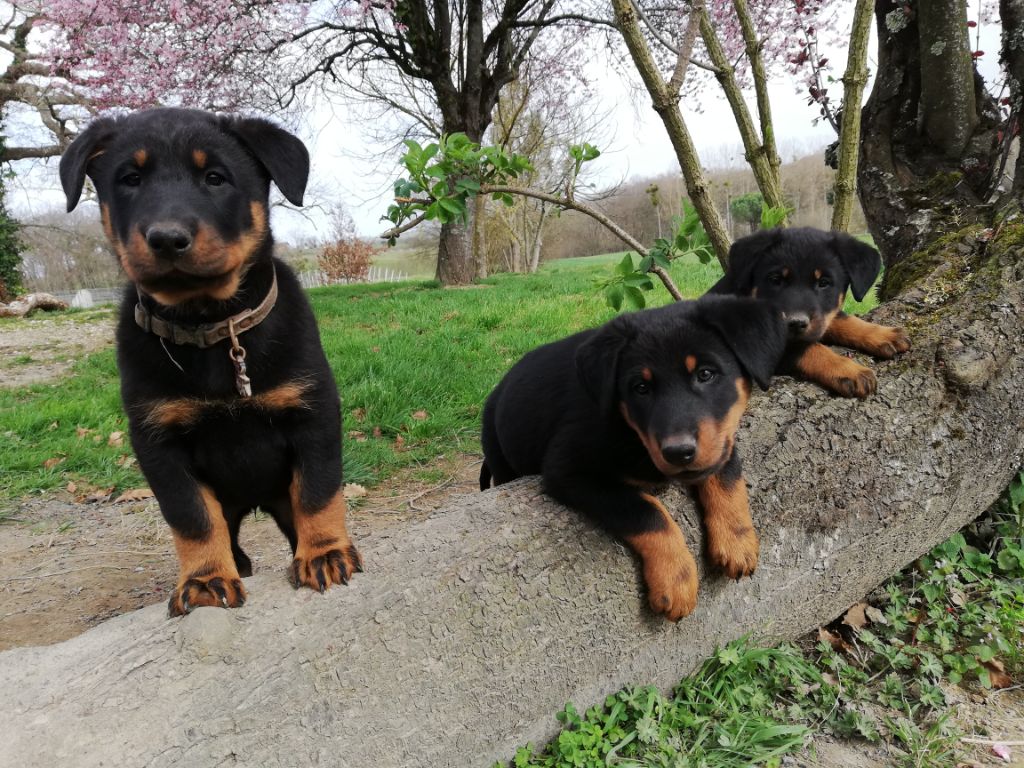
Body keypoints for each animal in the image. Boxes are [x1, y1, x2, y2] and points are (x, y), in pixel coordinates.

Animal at [59, 108, 362, 618]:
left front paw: (326, 554)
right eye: (130, 179)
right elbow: (192, 517)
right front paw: (204, 580)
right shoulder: (158, 440)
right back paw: (232, 566)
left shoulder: (312, 412)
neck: (209, 326)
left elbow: (319, 492)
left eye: (215, 178)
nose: (166, 238)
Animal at [479, 296, 782, 622]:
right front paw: (676, 579)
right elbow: (647, 511)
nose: (678, 452)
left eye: (705, 374)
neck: (630, 432)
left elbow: (726, 473)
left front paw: (737, 541)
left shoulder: (720, 440)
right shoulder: (569, 471)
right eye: (641, 388)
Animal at [708, 227, 909, 397]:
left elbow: (841, 319)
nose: (796, 323)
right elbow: (810, 348)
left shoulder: (820, 319)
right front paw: (848, 370)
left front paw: (883, 334)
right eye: (775, 280)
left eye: (824, 283)